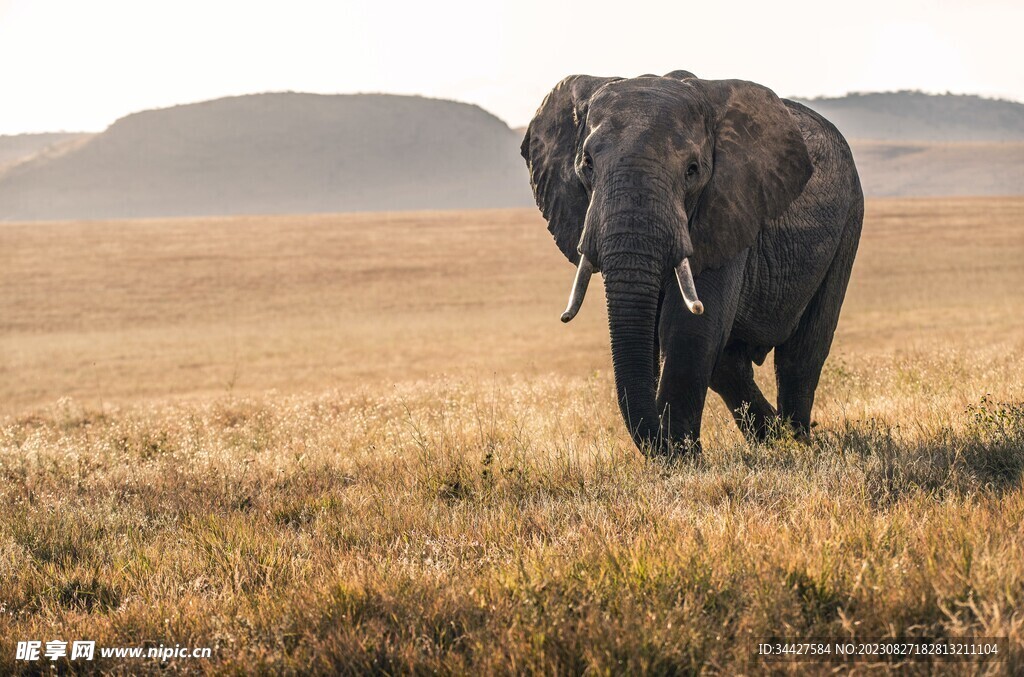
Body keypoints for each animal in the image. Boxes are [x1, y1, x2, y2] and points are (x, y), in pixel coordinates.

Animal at [521, 71, 863, 456]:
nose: (664, 444)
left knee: (801, 354)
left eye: (692, 170)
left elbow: (688, 328)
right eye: (587, 164)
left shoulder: (728, 205)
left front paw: (683, 459)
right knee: (730, 365)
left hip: (850, 219)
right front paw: (679, 454)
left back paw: (798, 443)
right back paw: (773, 440)